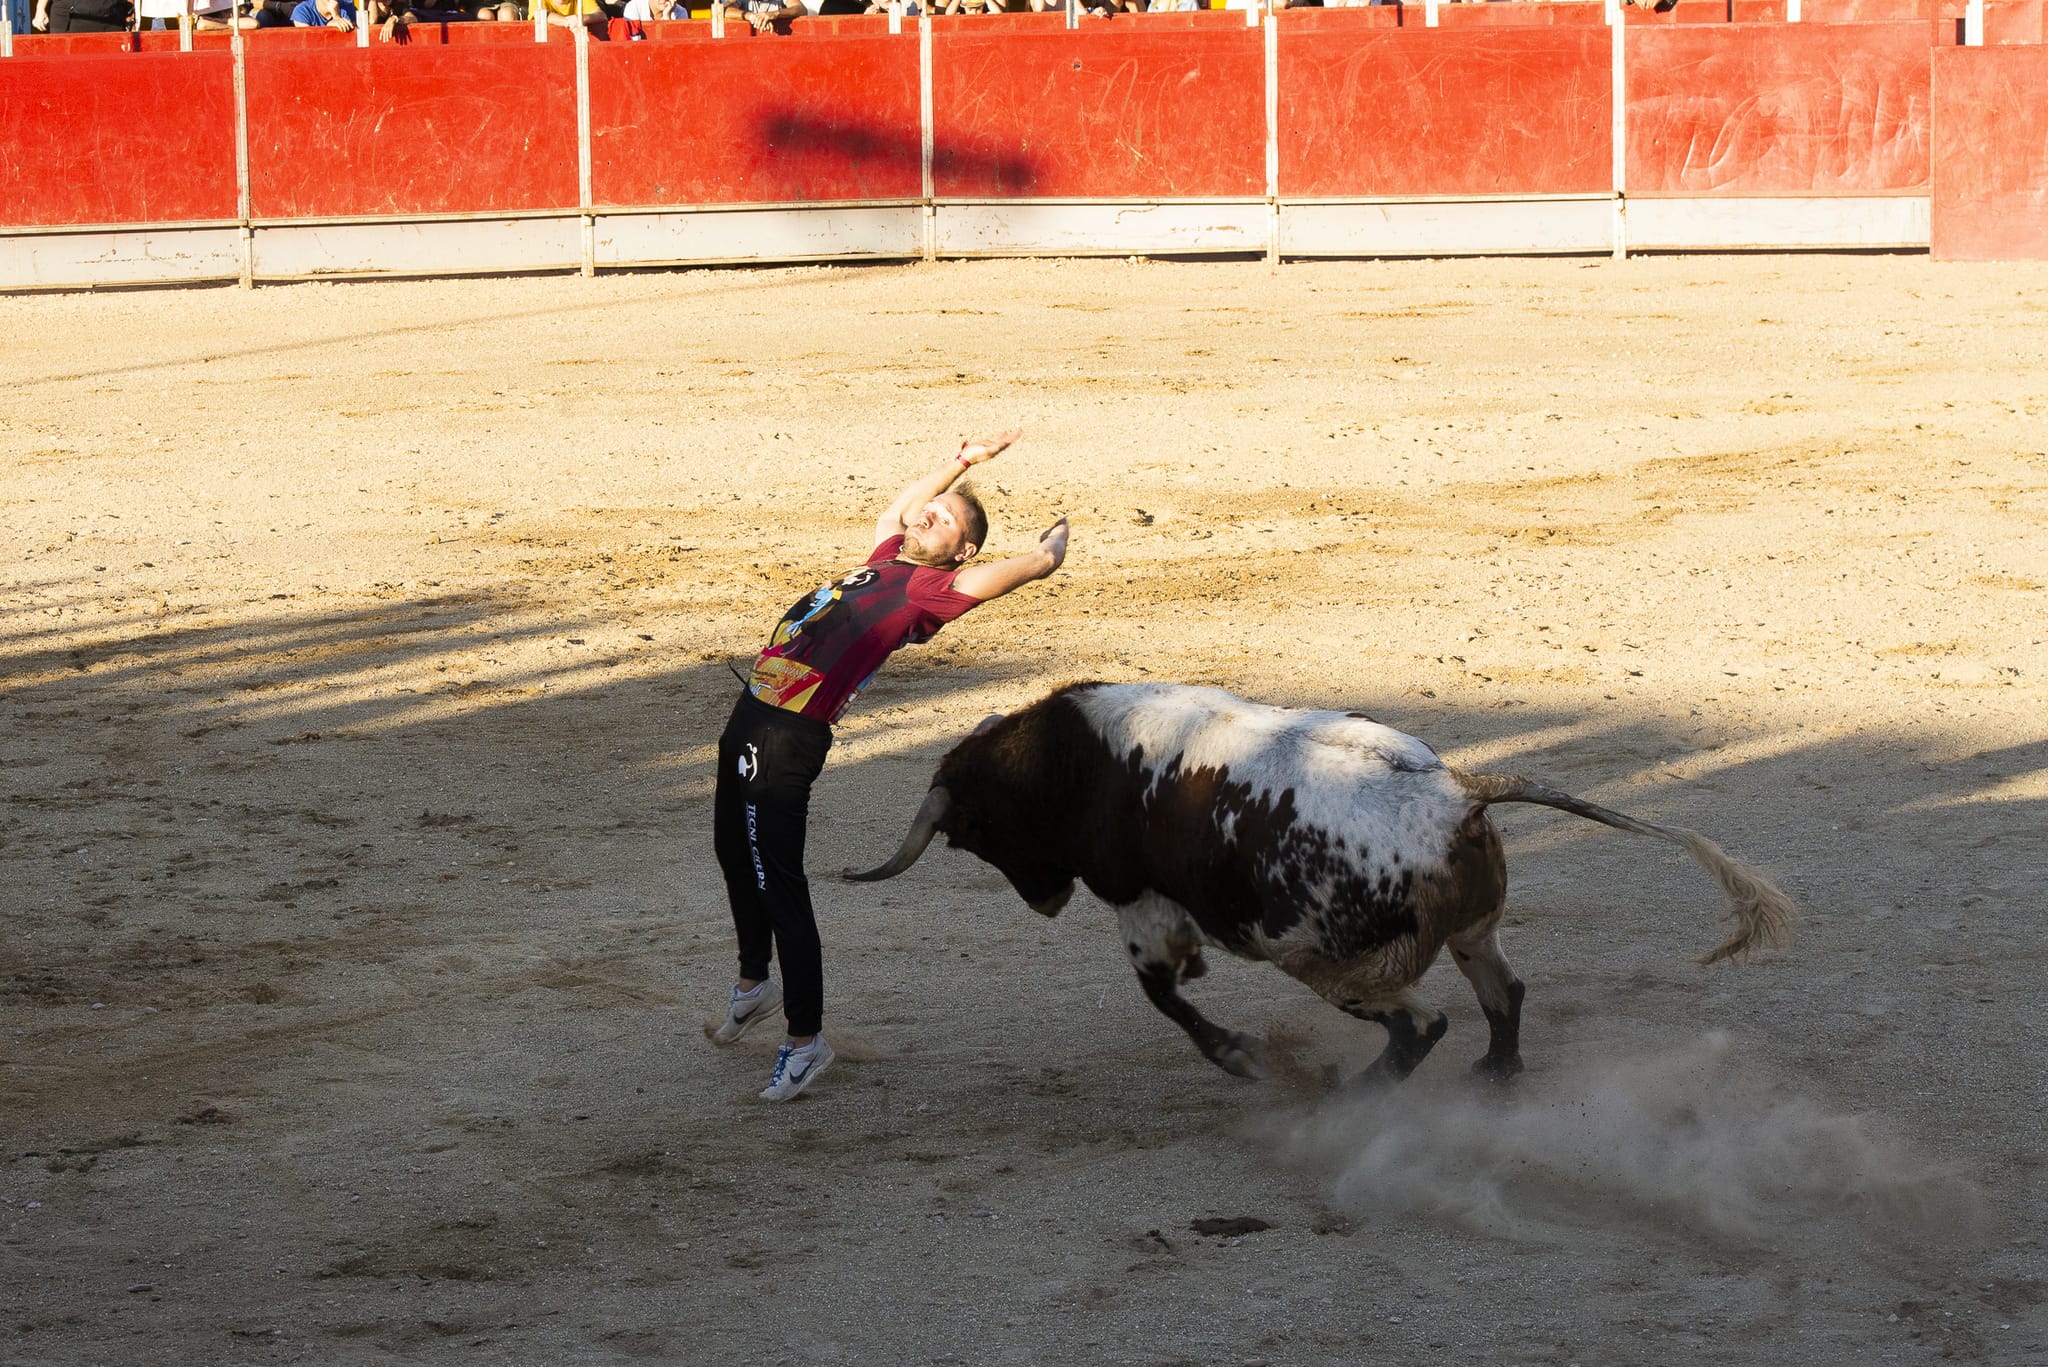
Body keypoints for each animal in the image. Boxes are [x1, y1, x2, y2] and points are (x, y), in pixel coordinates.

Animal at [845, 681, 1794, 1086]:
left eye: (973, 832)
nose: (1042, 898)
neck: (1068, 759)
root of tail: (1460, 791)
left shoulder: (1141, 903)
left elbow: (1165, 994)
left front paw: (1237, 1054)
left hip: (1326, 960)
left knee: (1422, 1022)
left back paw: (1362, 1089)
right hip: (1467, 930)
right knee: (1501, 992)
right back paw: (1494, 1073)